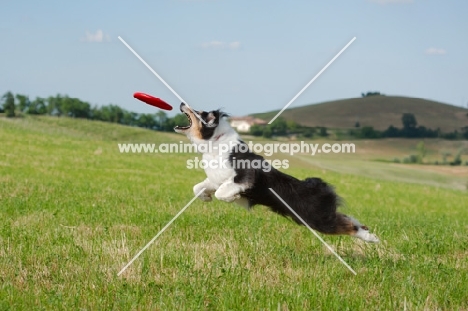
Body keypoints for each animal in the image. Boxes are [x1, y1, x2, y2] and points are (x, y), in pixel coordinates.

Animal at [176, 103, 380, 244]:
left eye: (200, 113)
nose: (181, 104)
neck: (214, 141)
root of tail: (319, 186)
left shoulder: (244, 176)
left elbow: (222, 192)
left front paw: (231, 198)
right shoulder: (217, 178)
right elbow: (198, 187)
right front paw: (205, 197)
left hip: (316, 218)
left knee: (348, 225)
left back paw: (372, 238)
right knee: (350, 219)